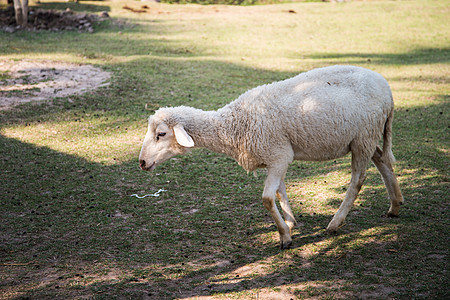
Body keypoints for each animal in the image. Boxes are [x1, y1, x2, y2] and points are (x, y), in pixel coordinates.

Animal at [138, 66, 404, 251]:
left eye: (161, 134)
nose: (141, 162)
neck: (234, 125)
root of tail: (388, 90)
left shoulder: (279, 155)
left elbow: (267, 198)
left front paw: (285, 237)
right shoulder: (275, 156)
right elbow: (280, 191)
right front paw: (290, 222)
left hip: (363, 137)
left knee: (358, 179)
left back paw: (335, 223)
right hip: (366, 138)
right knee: (382, 160)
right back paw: (395, 206)